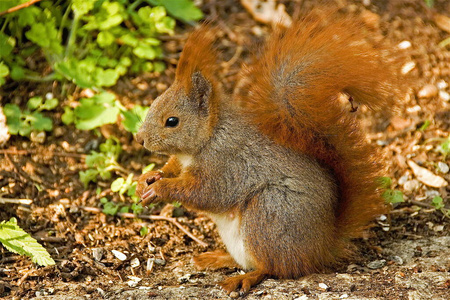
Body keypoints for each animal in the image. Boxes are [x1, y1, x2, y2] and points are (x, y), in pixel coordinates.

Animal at [134, 9, 400, 296]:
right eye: (152, 104)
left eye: (172, 121)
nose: (139, 139)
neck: (207, 139)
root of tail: (322, 246)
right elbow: (171, 168)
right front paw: (148, 178)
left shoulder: (226, 165)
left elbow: (205, 193)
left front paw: (159, 189)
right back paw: (217, 258)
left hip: (268, 213)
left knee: (273, 268)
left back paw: (244, 278)